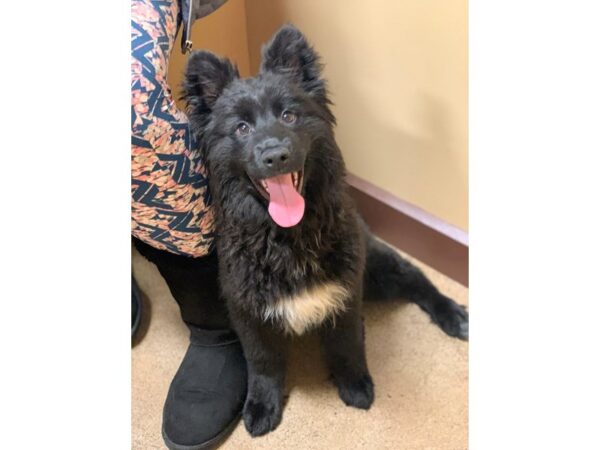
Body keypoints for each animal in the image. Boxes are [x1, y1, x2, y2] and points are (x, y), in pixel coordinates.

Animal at [183, 24, 468, 436]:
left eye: (289, 115)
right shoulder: (248, 312)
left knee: (416, 278)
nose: (275, 155)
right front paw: (261, 405)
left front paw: (355, 386)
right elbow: (263, 363)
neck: (287, 237)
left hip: (376, 268)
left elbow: (347, 346)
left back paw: (453, 315)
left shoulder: (346, 295)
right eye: (241, 127)